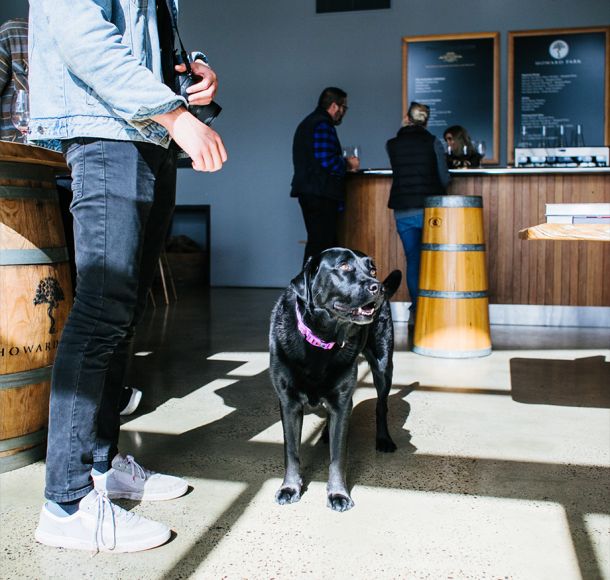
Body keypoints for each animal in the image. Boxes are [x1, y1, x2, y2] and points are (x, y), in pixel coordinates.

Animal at [269, 247, 401, 512]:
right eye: (344, 266)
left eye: (372, 269)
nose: (379, 287)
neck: (322, 340)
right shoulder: (289, 403)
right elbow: (291, 452)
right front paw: (289, 487)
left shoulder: (342, 403)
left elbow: (338, 457)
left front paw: (338, 494)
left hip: (383, 366)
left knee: (381, 406)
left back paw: (383, 439)